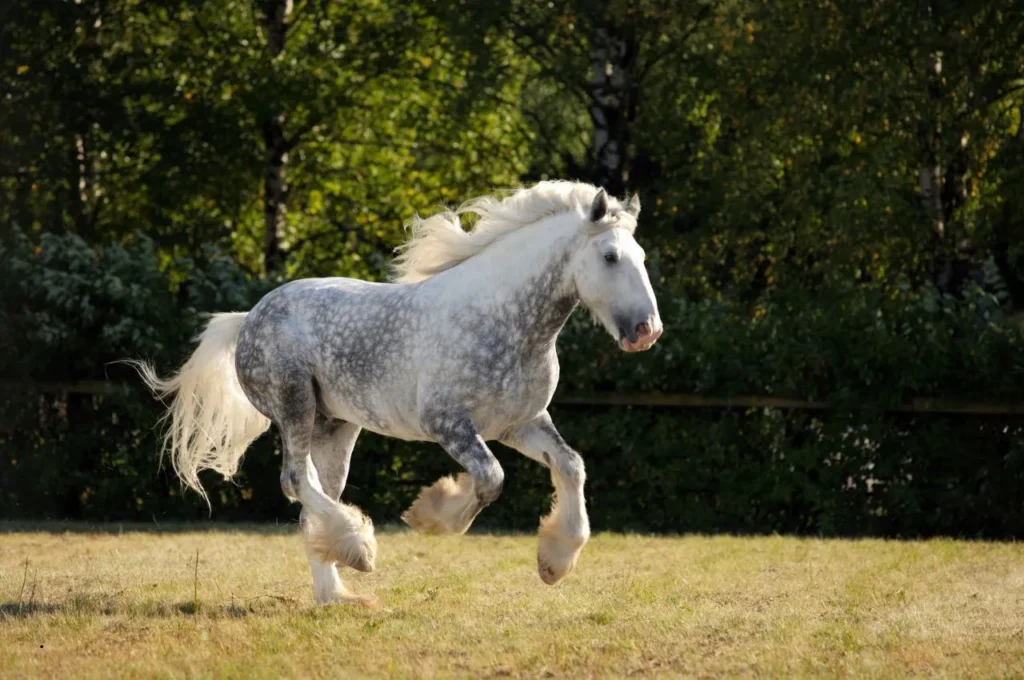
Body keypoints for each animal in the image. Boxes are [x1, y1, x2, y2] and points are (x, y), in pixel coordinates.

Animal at [134, 180, 663, 605]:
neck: (506, 320)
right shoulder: (449, 423)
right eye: (611, 257)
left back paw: (338, 595)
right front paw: (430, 516)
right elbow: (491, 478)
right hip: (294, 406)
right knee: (296, 482)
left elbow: (571, 466)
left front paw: (554, 562)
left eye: (641, 257)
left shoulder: (520, 423)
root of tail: (249, 318)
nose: (647, 331)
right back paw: (360, 552)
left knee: (312, 502)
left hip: (336, 427)